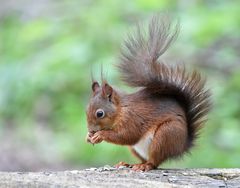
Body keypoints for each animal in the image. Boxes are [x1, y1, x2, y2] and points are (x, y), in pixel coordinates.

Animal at [85, 15, 211, 171]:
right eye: (86, 110)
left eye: (100, 113)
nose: (91, 130)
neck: (121, 110)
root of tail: (181, 146)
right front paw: (88, 137)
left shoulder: (133, 119)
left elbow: (127, 136)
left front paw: (100, 135)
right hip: (136, 148)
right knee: (144, 159)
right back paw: (129, 163)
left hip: (165, 135)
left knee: (154, 161)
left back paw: (144, 166)